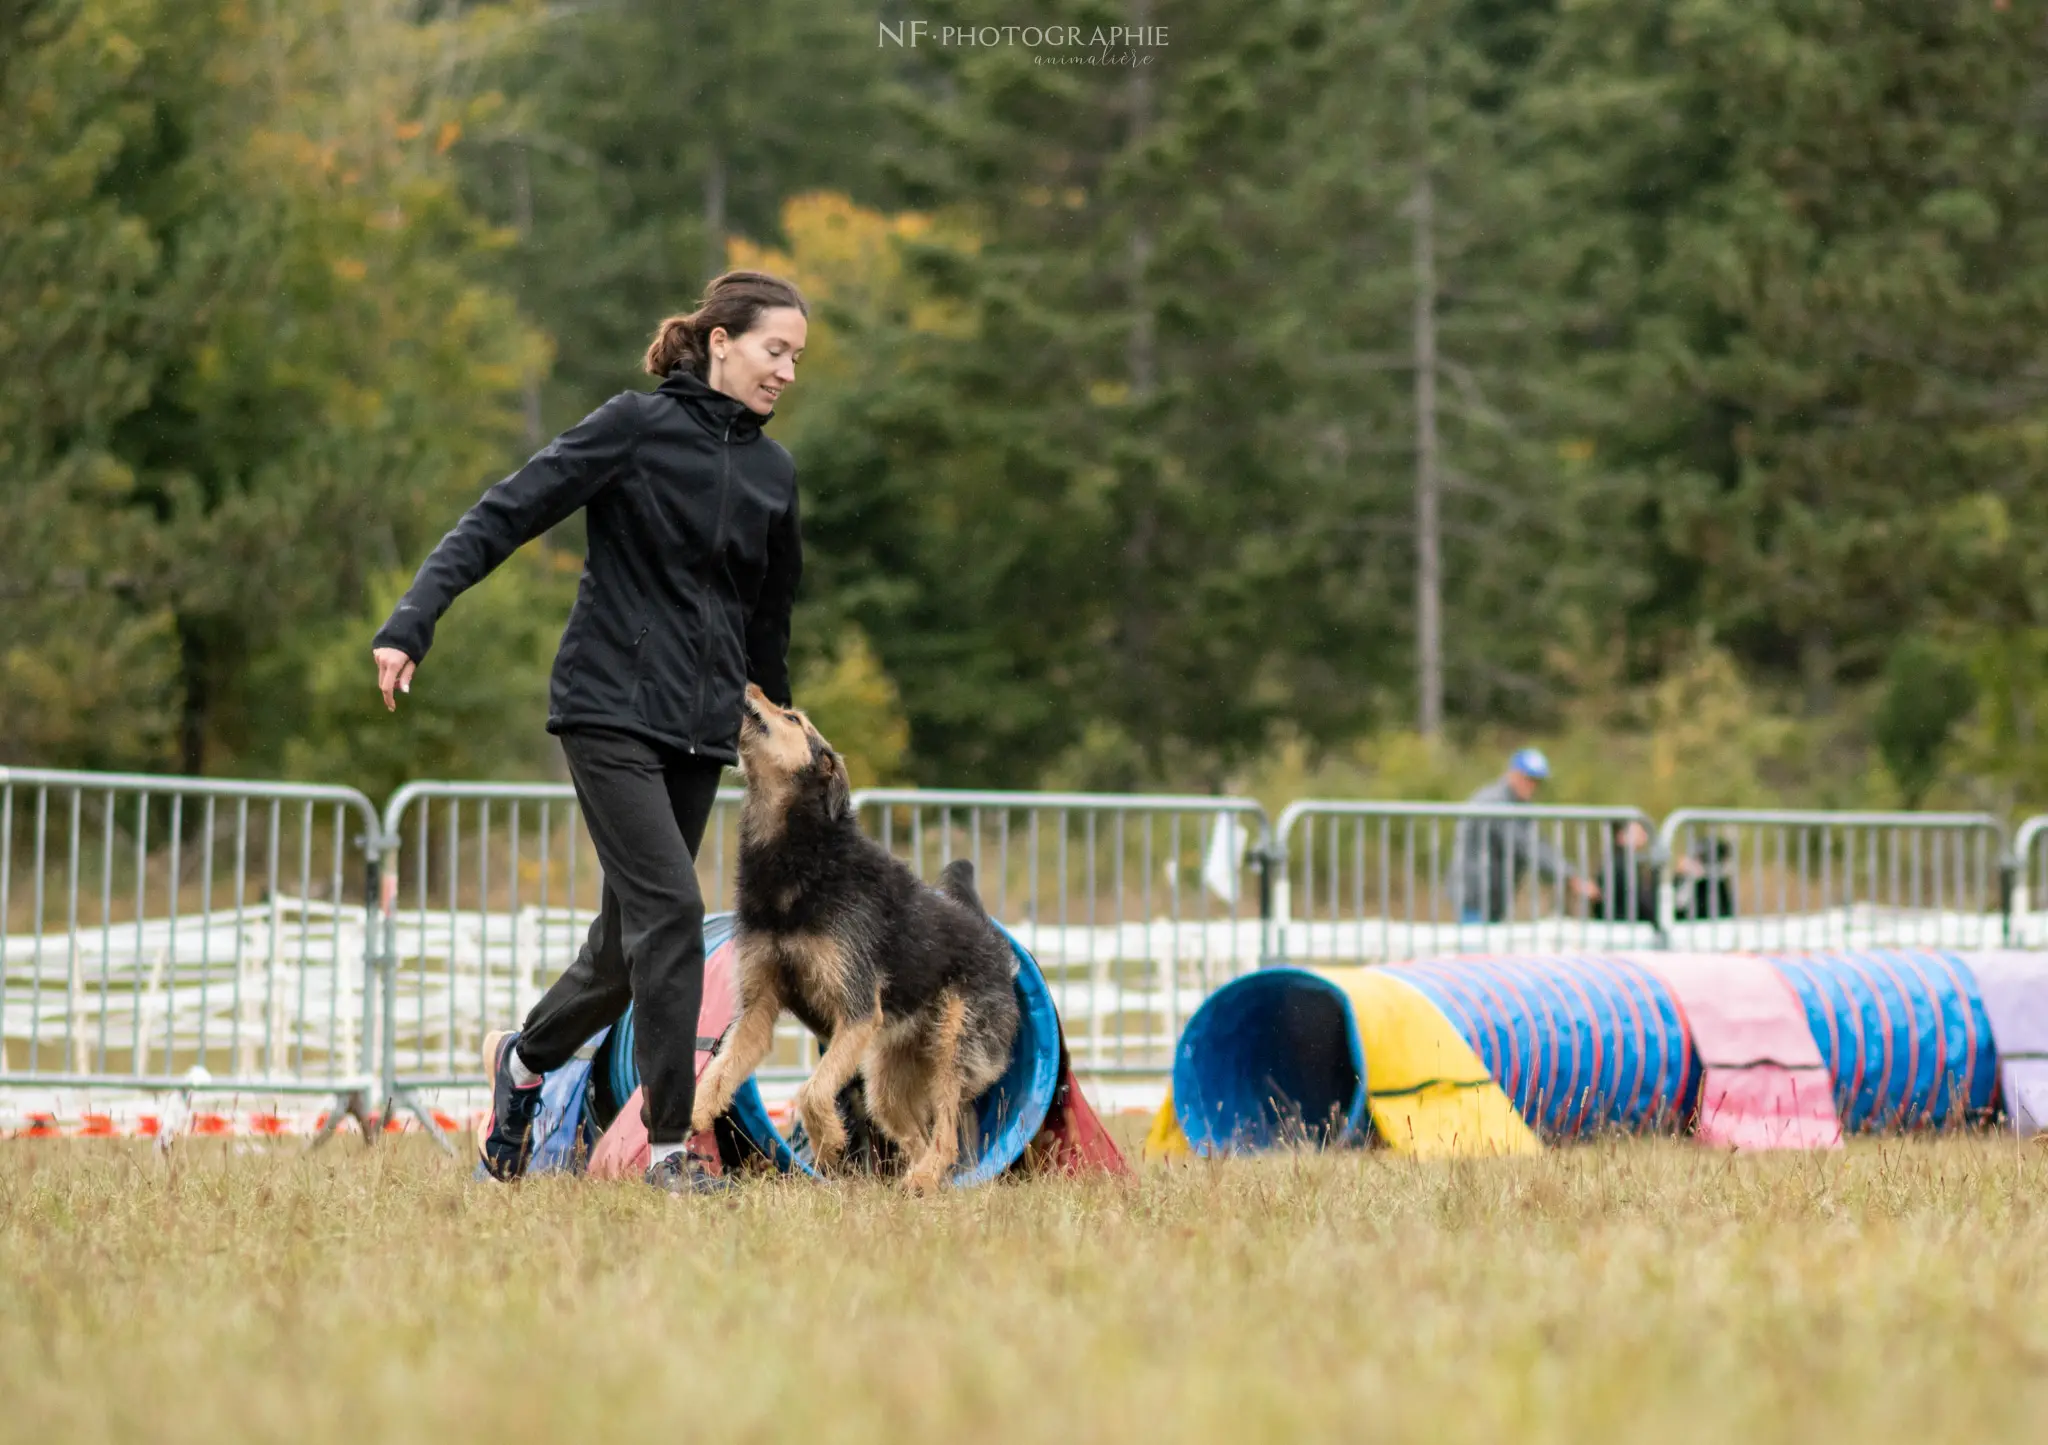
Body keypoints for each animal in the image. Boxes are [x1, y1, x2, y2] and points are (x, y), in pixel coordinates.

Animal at [692, 679, 1019, 1187]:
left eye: (792, 718)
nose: (750, 682)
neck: (800, 855)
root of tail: (997, 950)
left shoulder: (857, 1010)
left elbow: (812, 1090)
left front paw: (828, 1140)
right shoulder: (759, 1009)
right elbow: (721, 1069)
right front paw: (696, 1114)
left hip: (955, 1046)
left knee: (945, 1134)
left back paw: (923, 1180)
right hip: (887, 1078)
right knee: (917, 1136)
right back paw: (913, 1183)